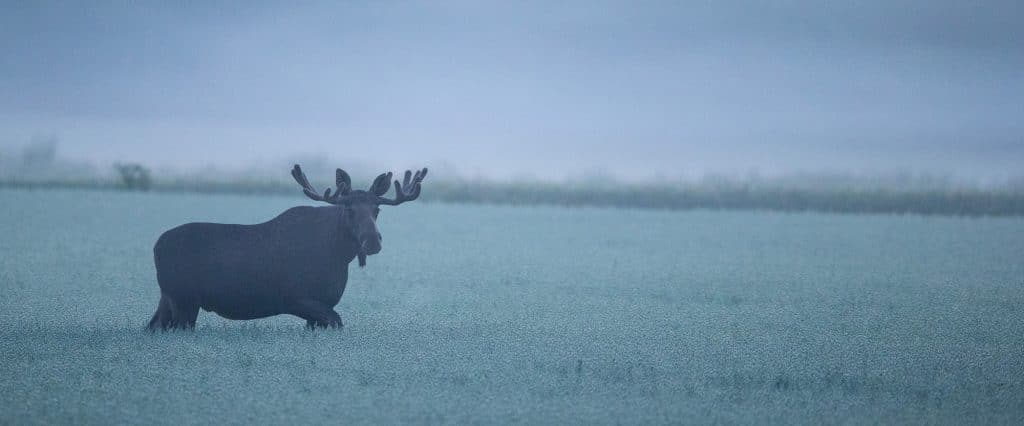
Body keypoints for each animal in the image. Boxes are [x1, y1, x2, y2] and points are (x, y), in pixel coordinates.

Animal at [146, 163, 425, 329]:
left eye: (377, 209)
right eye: (349, 209)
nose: (372, 240)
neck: (339, 255)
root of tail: (155, 247)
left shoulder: (323, 305)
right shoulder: (295, 298)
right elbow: (338, 321)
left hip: (169, 297)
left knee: (154, 326)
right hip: (183, 299)